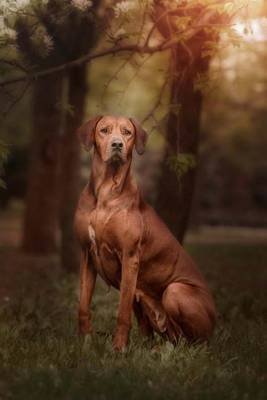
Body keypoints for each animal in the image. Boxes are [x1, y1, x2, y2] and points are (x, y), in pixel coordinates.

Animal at [74, 115, 217, 350]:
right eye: (104, 130)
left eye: (127, 132)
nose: (117, 145)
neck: (106, 191)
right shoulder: (87, 255)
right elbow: (83, 306)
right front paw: (85, 343)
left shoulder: (129, 257)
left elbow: (122, 313)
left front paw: (118, 349)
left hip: (176, 291)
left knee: (194, 341)